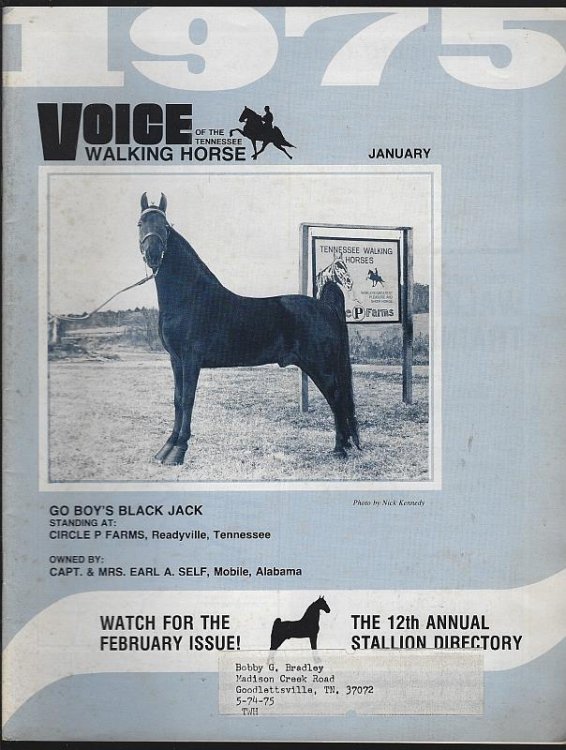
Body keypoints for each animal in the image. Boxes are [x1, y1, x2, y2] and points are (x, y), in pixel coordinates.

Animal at [137, 193, 360, 466]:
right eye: (140, 224)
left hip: (320, 365)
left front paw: (179, 450)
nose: (153, 254)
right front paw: (166, 448)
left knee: (336, 398)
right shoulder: (176, 360)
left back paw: (339, 448)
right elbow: (178, 400)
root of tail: (325, 307)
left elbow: (188, 400)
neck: (190, 298)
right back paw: (344, 445)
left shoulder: (190, 360)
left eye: (165, 227)